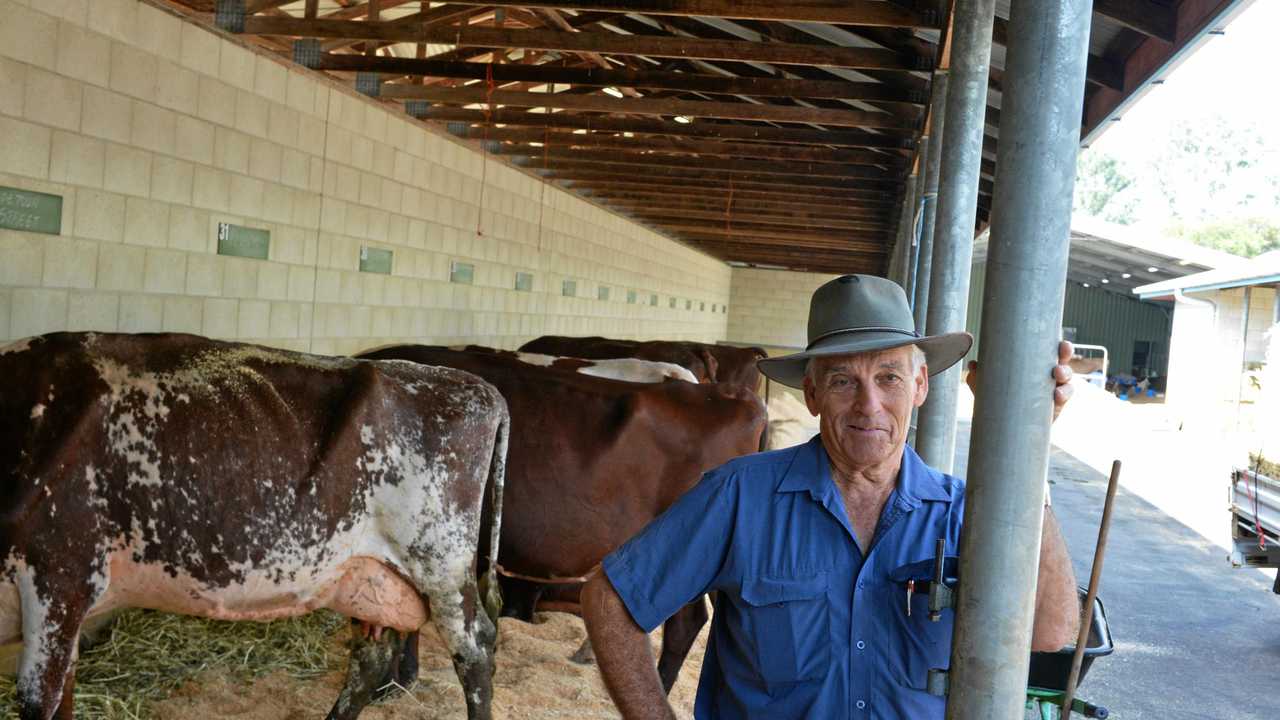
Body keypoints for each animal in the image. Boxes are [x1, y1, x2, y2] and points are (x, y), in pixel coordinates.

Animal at [0, 333, 509, 717]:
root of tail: (477, 387)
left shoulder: (60, 575)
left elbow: (40, 701)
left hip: (439, 561)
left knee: (475, 646)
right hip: (367, 574)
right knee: (370, 658)